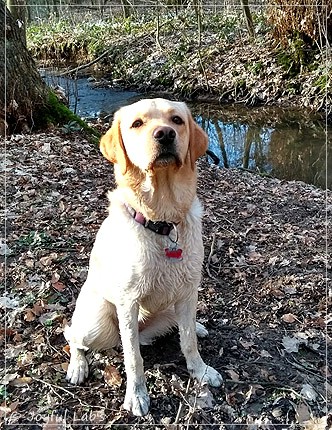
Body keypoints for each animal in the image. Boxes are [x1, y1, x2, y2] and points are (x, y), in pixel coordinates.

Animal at [64, 98, 222, 416]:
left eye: (177, 120)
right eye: (137, 124)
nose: (165, 134)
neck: (163, 222)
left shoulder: (189, 291)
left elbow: (188, 342)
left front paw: (200, 371)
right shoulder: (128, 302)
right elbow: (133, 358)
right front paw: (136, 396)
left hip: (172, 307)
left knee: (182, 326)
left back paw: (198, 326)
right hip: (98, 325)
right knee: (73, 336)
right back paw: (77, 366)